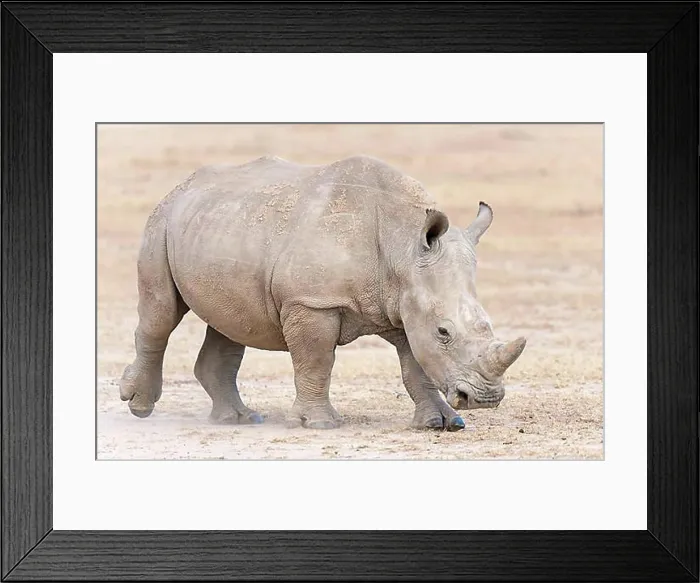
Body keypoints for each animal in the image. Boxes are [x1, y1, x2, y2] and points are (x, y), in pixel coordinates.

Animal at [120, 155, 526, 431]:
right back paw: (139, 406)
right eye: (444, 332)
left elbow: (417, 368)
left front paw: (442, 424)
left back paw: (239, 419)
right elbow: (316, 361)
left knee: (229, 323)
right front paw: (318, 424)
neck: (402, 248)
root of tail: (181, 187)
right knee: (161, 314)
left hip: (220, 226)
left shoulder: (406, 305)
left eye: (488, 325)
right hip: (160, 223)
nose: (486, 399)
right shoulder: (312, 302)